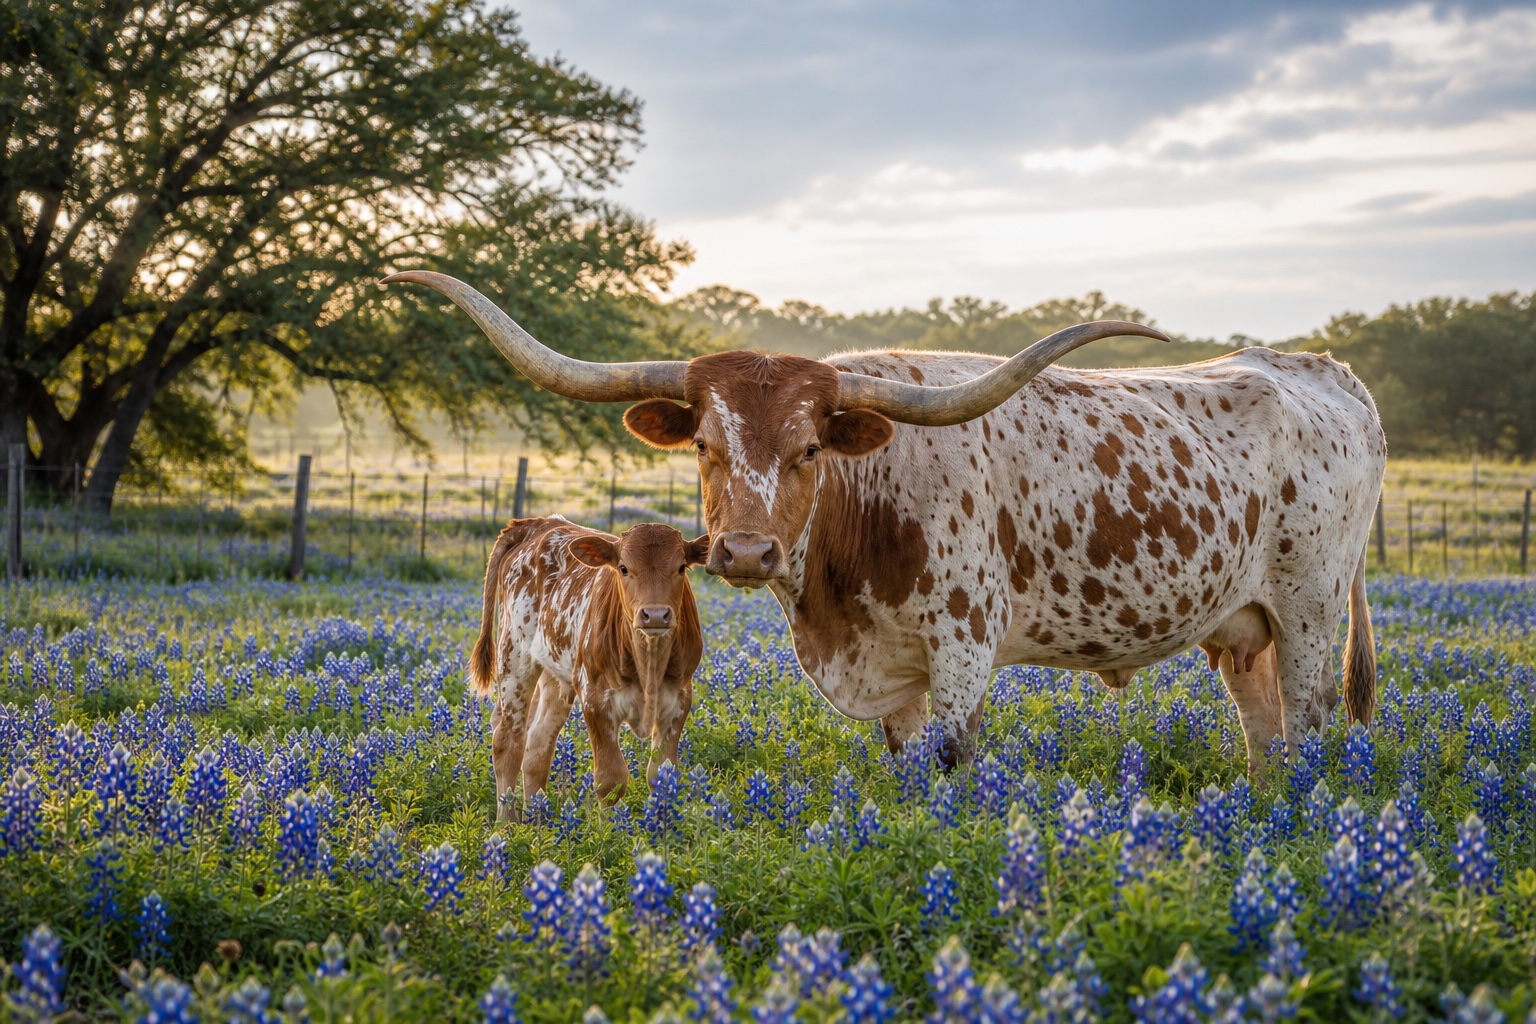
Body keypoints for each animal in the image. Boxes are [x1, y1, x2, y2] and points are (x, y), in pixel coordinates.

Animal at [391, 270, 1384, 778]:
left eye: (809, 449)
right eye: (705, 444)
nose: (745, 551)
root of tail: (1324, 370)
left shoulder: (964, 647)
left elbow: (952, 759)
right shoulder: (893, 667)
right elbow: (905, 767)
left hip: (1310, 613)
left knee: (1311, 730)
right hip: (1243, 628)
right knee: (1266, 741)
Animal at [469, 517, 709, 820]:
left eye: (681, 567)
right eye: (624, 568)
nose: (655, 615)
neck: (649, 661)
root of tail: (536, 524)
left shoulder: (679, 700)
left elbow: (661, 775)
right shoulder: (595, 699)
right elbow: (611, 779)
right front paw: (609, 830)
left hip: (555, 675)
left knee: (537, 747)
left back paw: (537, 821)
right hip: (514, 657)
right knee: (508, 740)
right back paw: (507, 823)